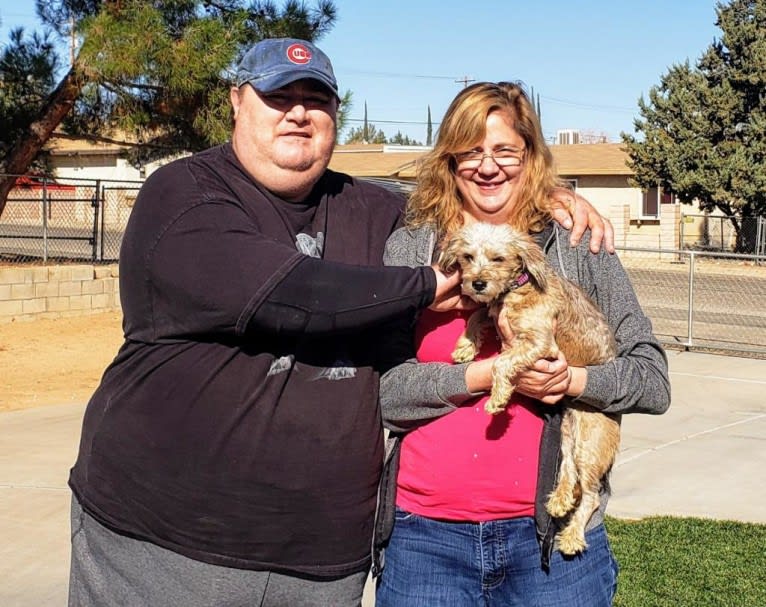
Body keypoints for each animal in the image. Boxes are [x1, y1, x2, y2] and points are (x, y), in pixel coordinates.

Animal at [440, 222, 620, 556]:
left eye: (498, 258)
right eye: (468, 256)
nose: (478, 283)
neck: (518, 288)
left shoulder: (539, 343)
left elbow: (501, 361)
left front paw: (498, 397)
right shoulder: (497, 313)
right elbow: (478, 315)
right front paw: (465, 347)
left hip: (590, 443)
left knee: (590, 495)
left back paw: (572, 537)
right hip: (568, 436)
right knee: (569, 473)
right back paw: (559, 500)